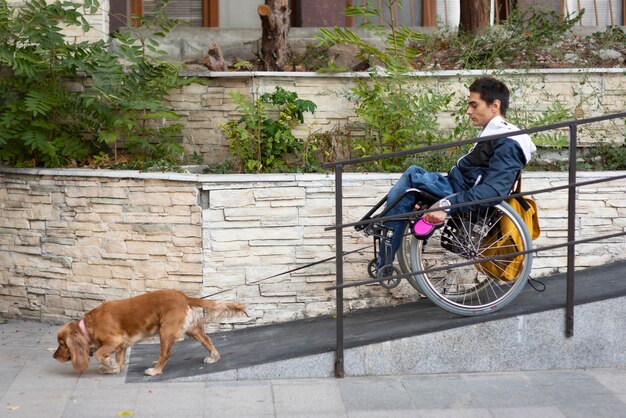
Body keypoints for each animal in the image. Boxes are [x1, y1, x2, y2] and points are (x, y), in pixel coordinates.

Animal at [52, 290, 245, 376]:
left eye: (62, 345)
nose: (54, 356)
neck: (88, 326)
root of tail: (183, 295)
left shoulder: (114, 341)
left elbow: (100, 354)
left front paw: (108, 365)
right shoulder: (122, 344)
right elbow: (119, 361)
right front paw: (113, 368)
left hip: (165, 331)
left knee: (166, 353)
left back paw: (155, 370)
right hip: (191, 329)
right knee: (207, 339)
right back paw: (214, 357)